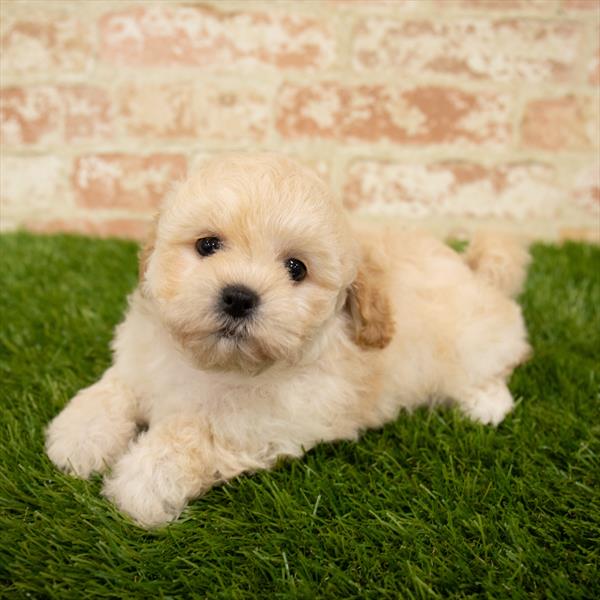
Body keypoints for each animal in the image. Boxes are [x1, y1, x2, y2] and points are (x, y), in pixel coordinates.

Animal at [49, 152, 532, 528]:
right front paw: (79, 439)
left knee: (496, 365)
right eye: (207, 245)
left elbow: (192, 434)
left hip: (474, 341)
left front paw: (143, 481)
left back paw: (487, 405)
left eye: (296, 268)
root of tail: (475, 270)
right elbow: (110, 391)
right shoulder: (140, 363)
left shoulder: (263, 423)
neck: (214, 364)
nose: (239, 297)